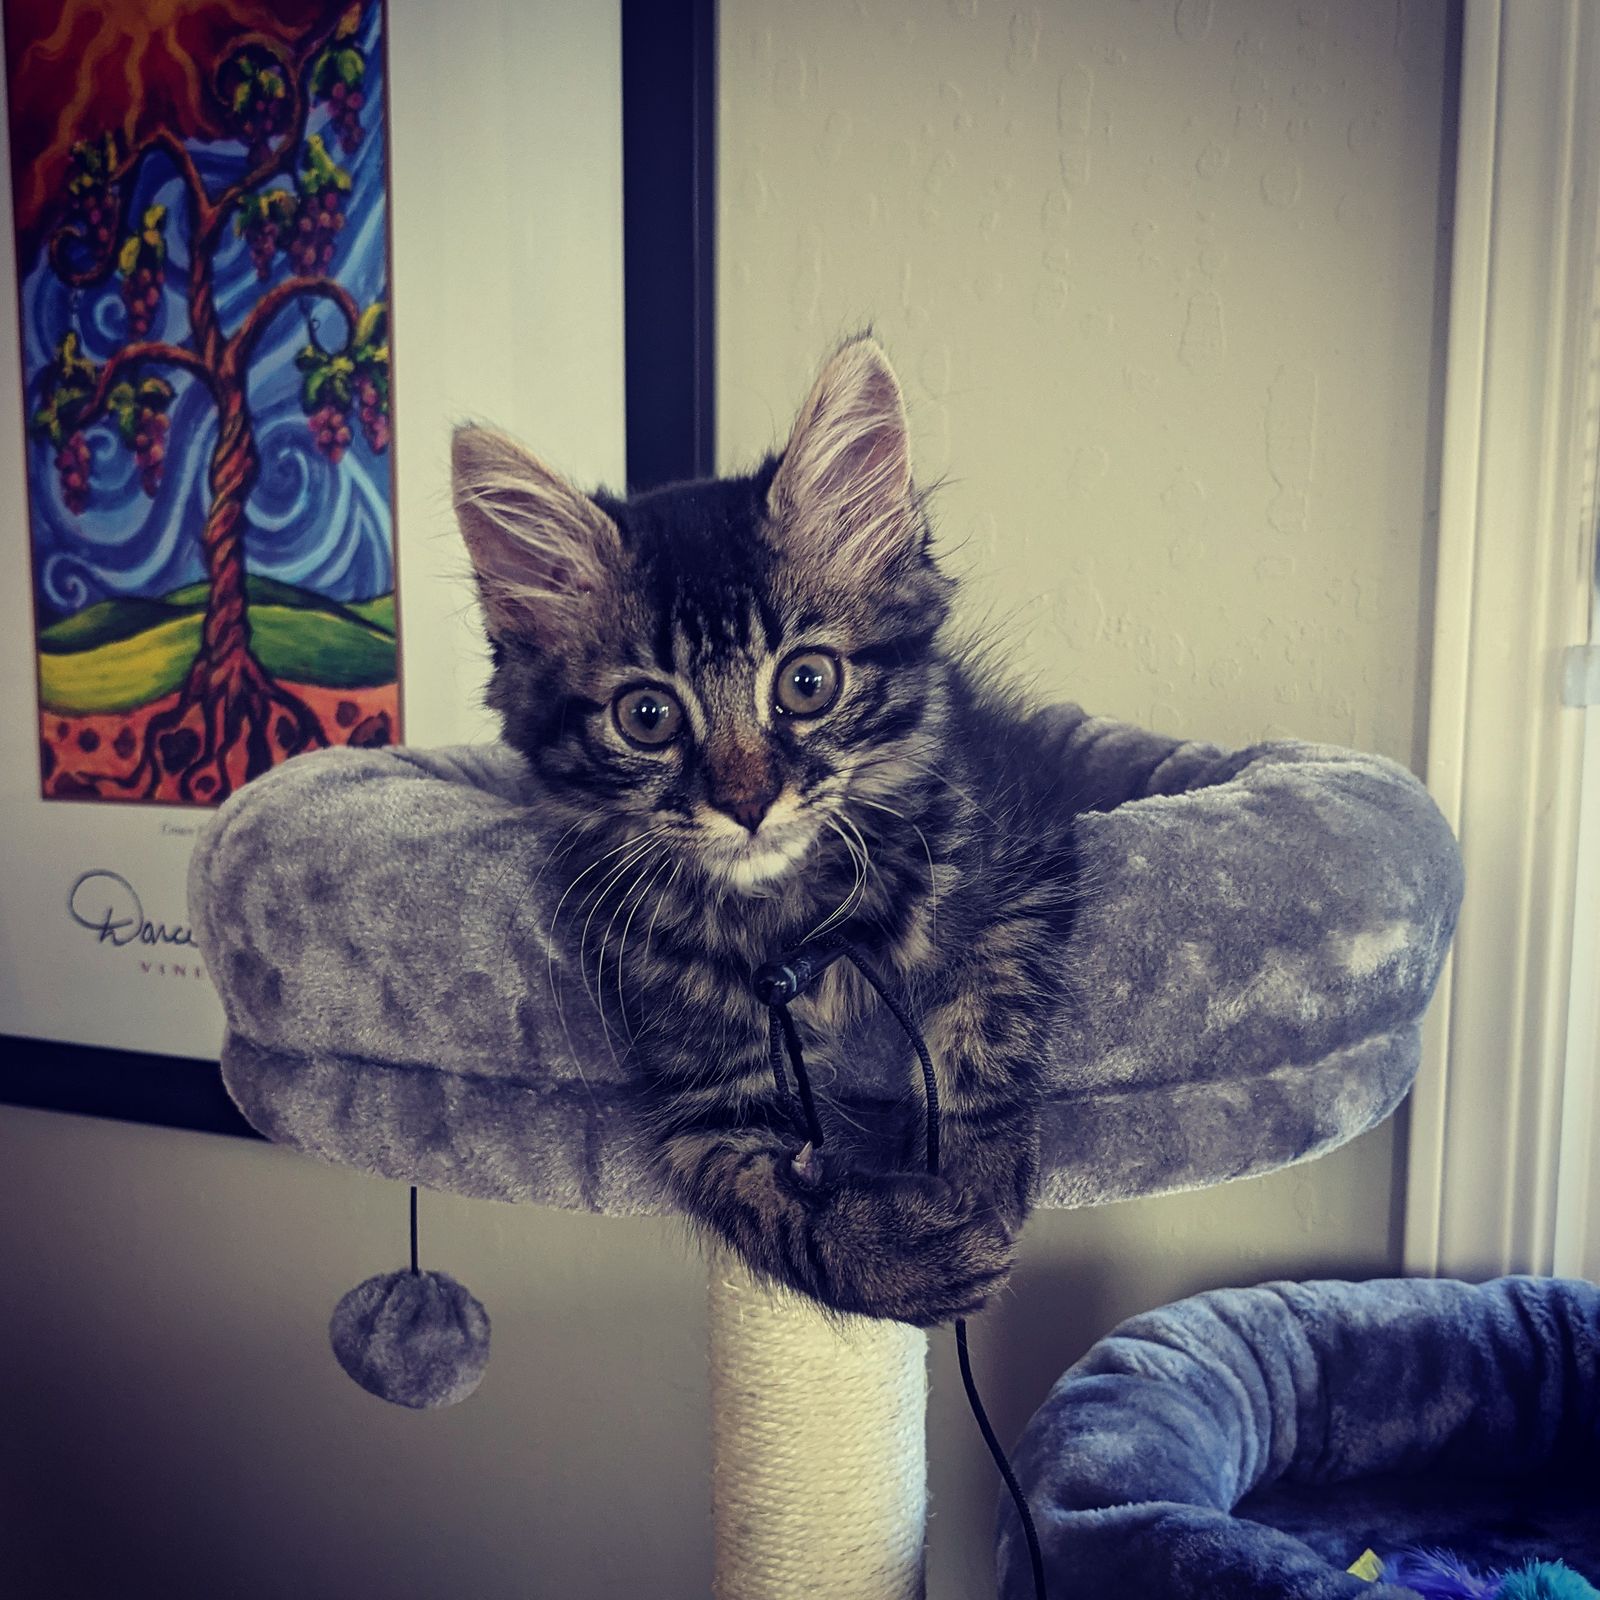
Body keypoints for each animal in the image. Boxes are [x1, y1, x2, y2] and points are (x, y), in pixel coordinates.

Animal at [452, 336, 1081, 1326]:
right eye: (647, 717)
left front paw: (978, 1176)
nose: (748, 802)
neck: (785, 904)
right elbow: (774, 1204)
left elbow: (991, 1011)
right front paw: (907, 1256)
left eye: (807, 684)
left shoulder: (1024, 847)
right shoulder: (703, 1097)